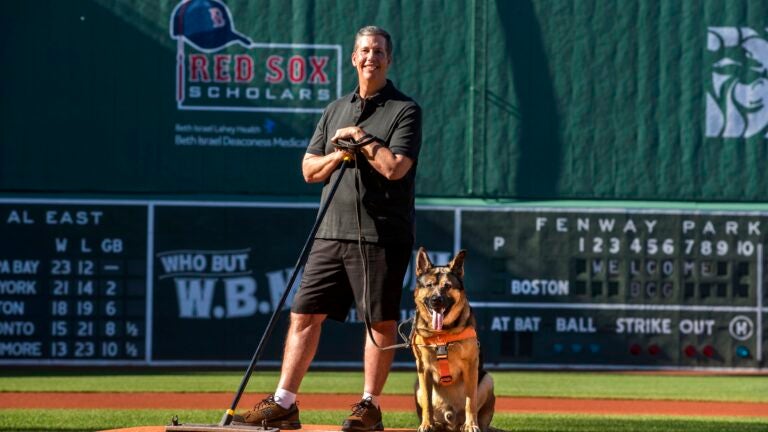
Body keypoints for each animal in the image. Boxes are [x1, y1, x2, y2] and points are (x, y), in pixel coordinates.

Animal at [412, 248, 496, 432]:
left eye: (447, 286)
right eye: (429, 285)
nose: (436, 300)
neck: (442, 332)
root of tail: (451, 423)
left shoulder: (471, 366)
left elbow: (470, 402)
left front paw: (471, 425)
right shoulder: (423, 368)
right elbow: (427, 403)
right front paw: (426, 424)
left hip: (487, 380)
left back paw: (468, 424)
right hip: (417, 385)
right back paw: (435, 424)